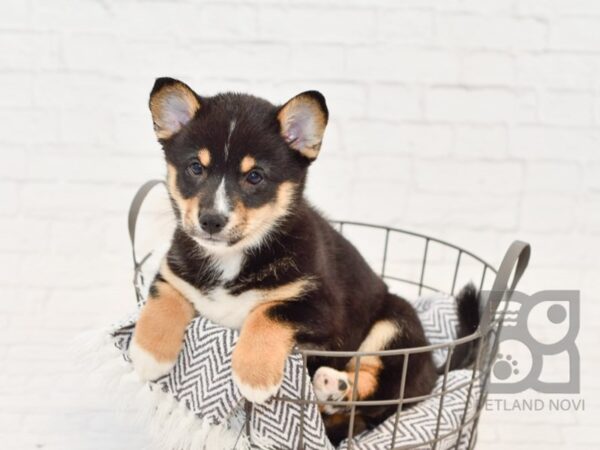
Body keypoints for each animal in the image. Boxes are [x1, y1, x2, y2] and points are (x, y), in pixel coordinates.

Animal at [130, 78, 478, 442]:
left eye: (255, 176)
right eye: (196, 168)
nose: (211, 220)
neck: (232, 257)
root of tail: (434, 371)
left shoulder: (318, 307)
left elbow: (268, 312)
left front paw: (253, 376)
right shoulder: (173, 274)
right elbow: (163, 298)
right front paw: (148, 354)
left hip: (395, 325)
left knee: (373, 388)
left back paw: (333, 384)